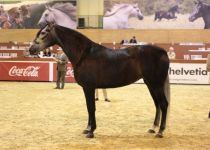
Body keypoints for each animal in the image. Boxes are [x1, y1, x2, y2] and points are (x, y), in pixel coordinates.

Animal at [29, 24, 171, 138]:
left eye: (44, 33)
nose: (31, 49)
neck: (84, 54)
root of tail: (162, 51)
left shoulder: (89, 87)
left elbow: (91, 108)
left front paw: (91, 132)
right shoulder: (87, 88)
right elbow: (88, 107)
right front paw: (87, 129)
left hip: (156, 84)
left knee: (163, 104)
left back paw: (160, 132)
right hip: (150, 84)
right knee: (157, 104)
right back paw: (153, 128)